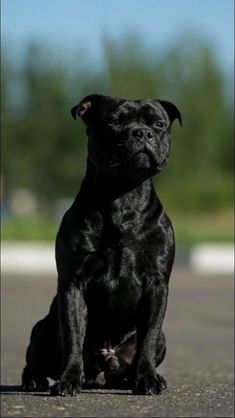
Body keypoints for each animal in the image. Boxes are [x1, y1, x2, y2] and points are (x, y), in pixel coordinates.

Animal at [21, 94, 182, 396]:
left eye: (158, 123)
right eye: (114, 121)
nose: (142, 133)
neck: (122, 197)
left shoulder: (156, 285)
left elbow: (148, 338)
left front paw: (148, 379)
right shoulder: (73, 283)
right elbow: (73, 336)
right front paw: (68, 379)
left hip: (162, 340)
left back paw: (141, 378)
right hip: (43, 330)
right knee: (35, 358)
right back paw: (34, 379)